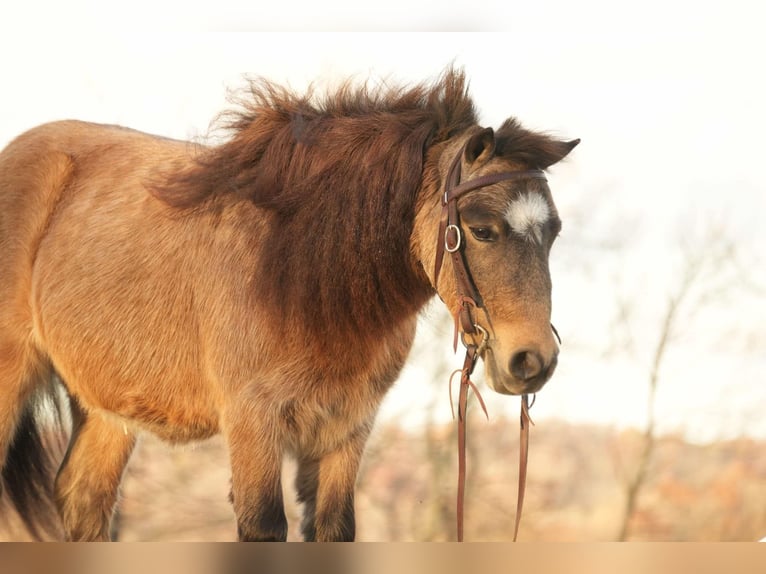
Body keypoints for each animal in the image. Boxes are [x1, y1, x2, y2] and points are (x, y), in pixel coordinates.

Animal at [0, 70, 576, 544]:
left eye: (553, 231)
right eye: (481, 229)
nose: (533, 361)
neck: (300, 271)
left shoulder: (346, 430)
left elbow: (333, 528)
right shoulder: (253, 424)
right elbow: (263, 526)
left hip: (106, 410)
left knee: (84, 501)